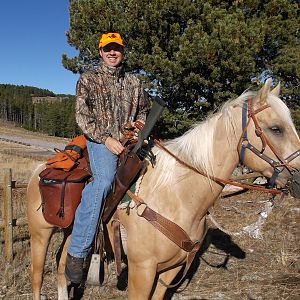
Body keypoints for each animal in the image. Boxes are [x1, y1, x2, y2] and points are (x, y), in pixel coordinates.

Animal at [27, 78, 300, 298]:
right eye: (276, 129)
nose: (298, 179)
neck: (177, 196)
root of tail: (38, 170)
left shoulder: (171, 270)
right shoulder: (142, 270)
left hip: (69, 234)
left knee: (63, 270)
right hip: (40, 234)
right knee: (37, 276)